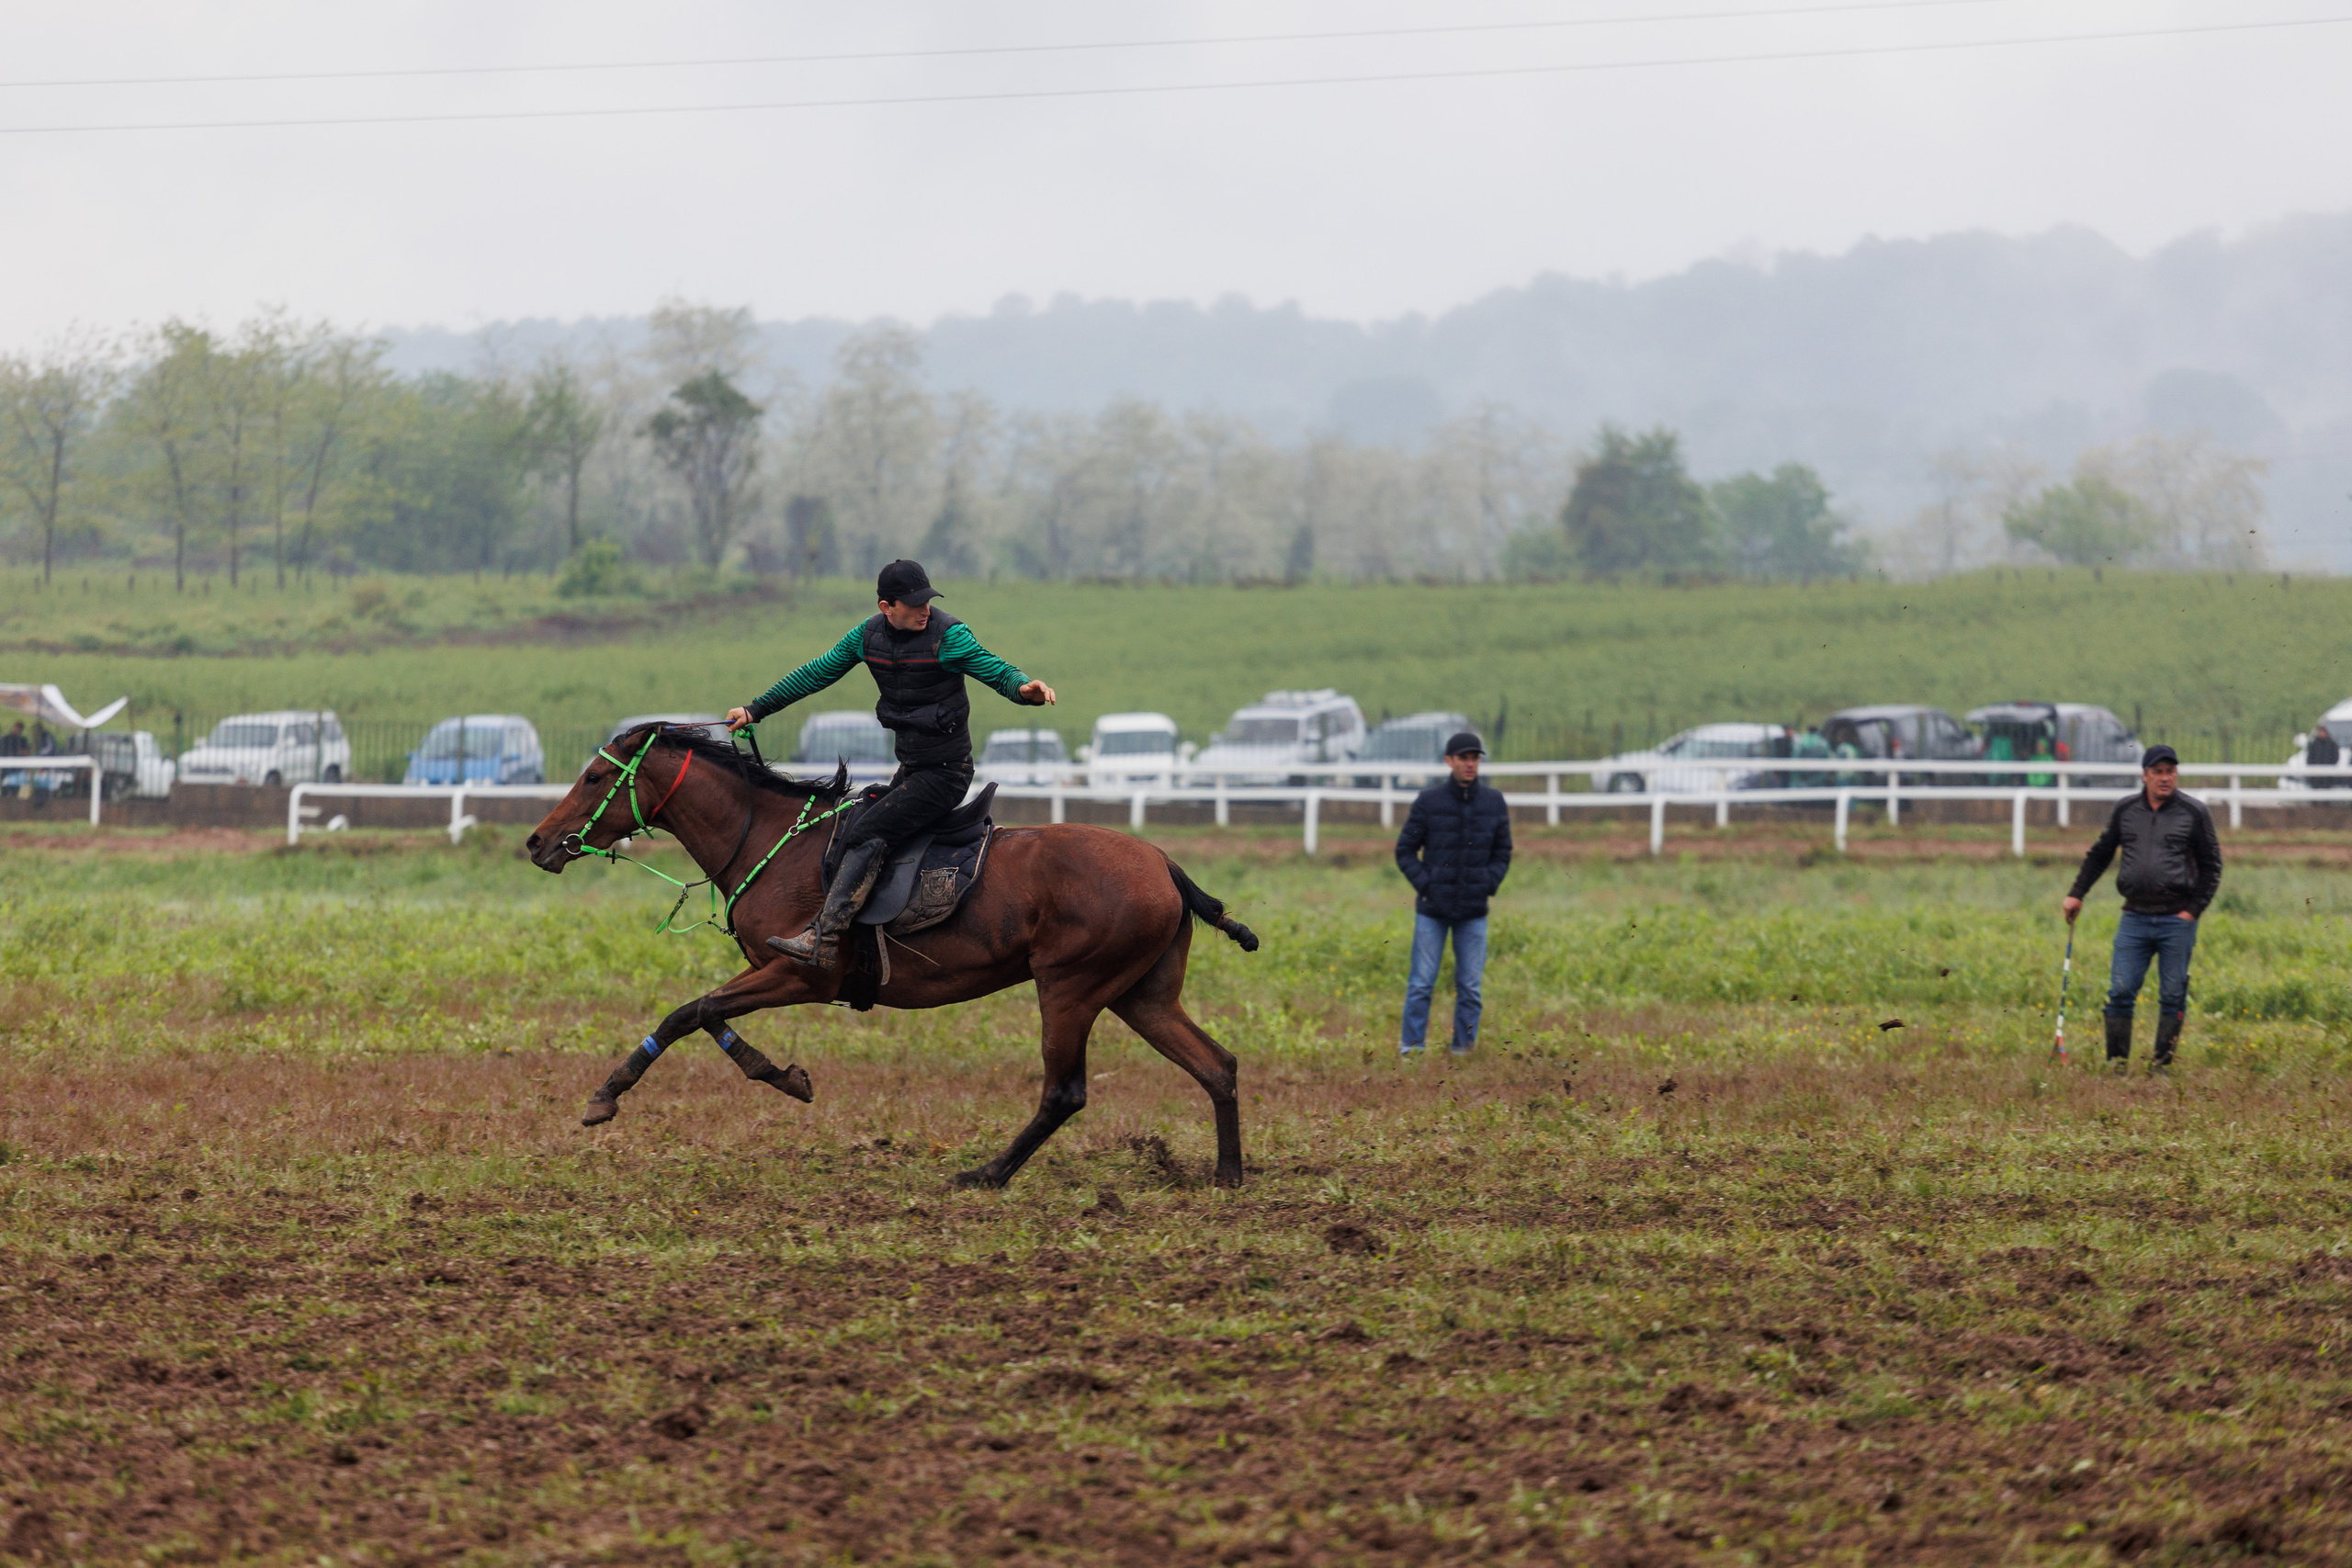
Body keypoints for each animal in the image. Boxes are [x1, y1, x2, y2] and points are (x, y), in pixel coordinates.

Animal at [523, 723, 1260, 1189]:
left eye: (594, 776)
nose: (536, 841)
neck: (772, 841)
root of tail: (1164, 864)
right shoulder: (770, 971)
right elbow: (703, 1014)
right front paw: (783, 1075)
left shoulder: (801, 971)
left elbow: (692, 1011)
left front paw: (607, 1094)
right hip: (1141, 995)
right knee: (1217, 1064)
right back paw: (1226, 1174)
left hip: (1071, 989)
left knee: (1065, 1092)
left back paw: (986, 1174)